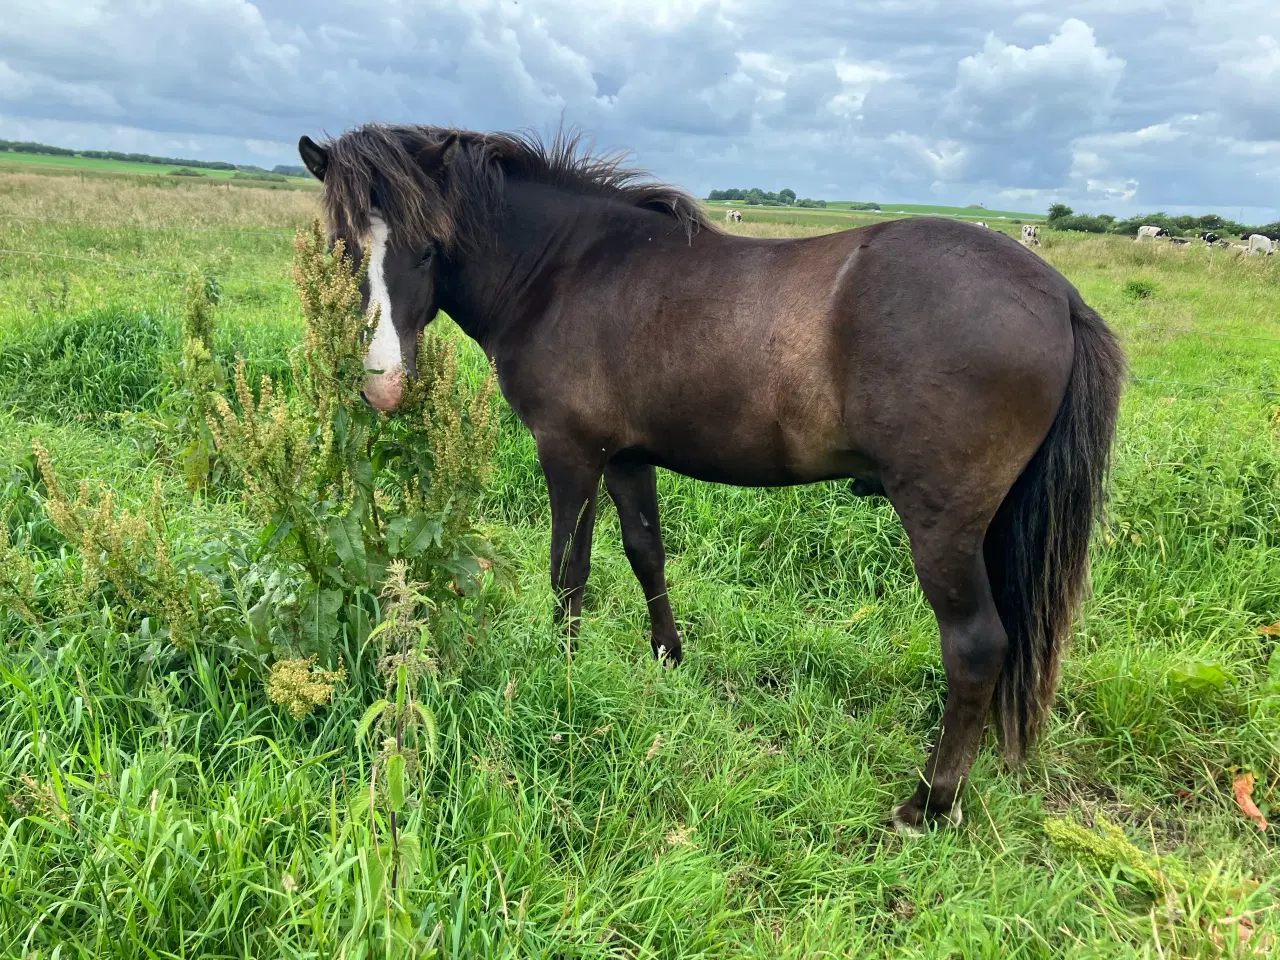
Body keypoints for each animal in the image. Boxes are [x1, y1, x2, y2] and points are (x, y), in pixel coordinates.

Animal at [296, 124, 1121, 829]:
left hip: (942, 522)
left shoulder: (570, 454)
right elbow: (646, 554)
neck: (562, 270)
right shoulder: (628, 459)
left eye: (430, 248)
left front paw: (559, 676)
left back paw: (928, 802)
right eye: (342, 246)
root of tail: (1060, 297)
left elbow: (570, 573)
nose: (382, 386)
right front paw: (669, 659)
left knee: (976, 646)